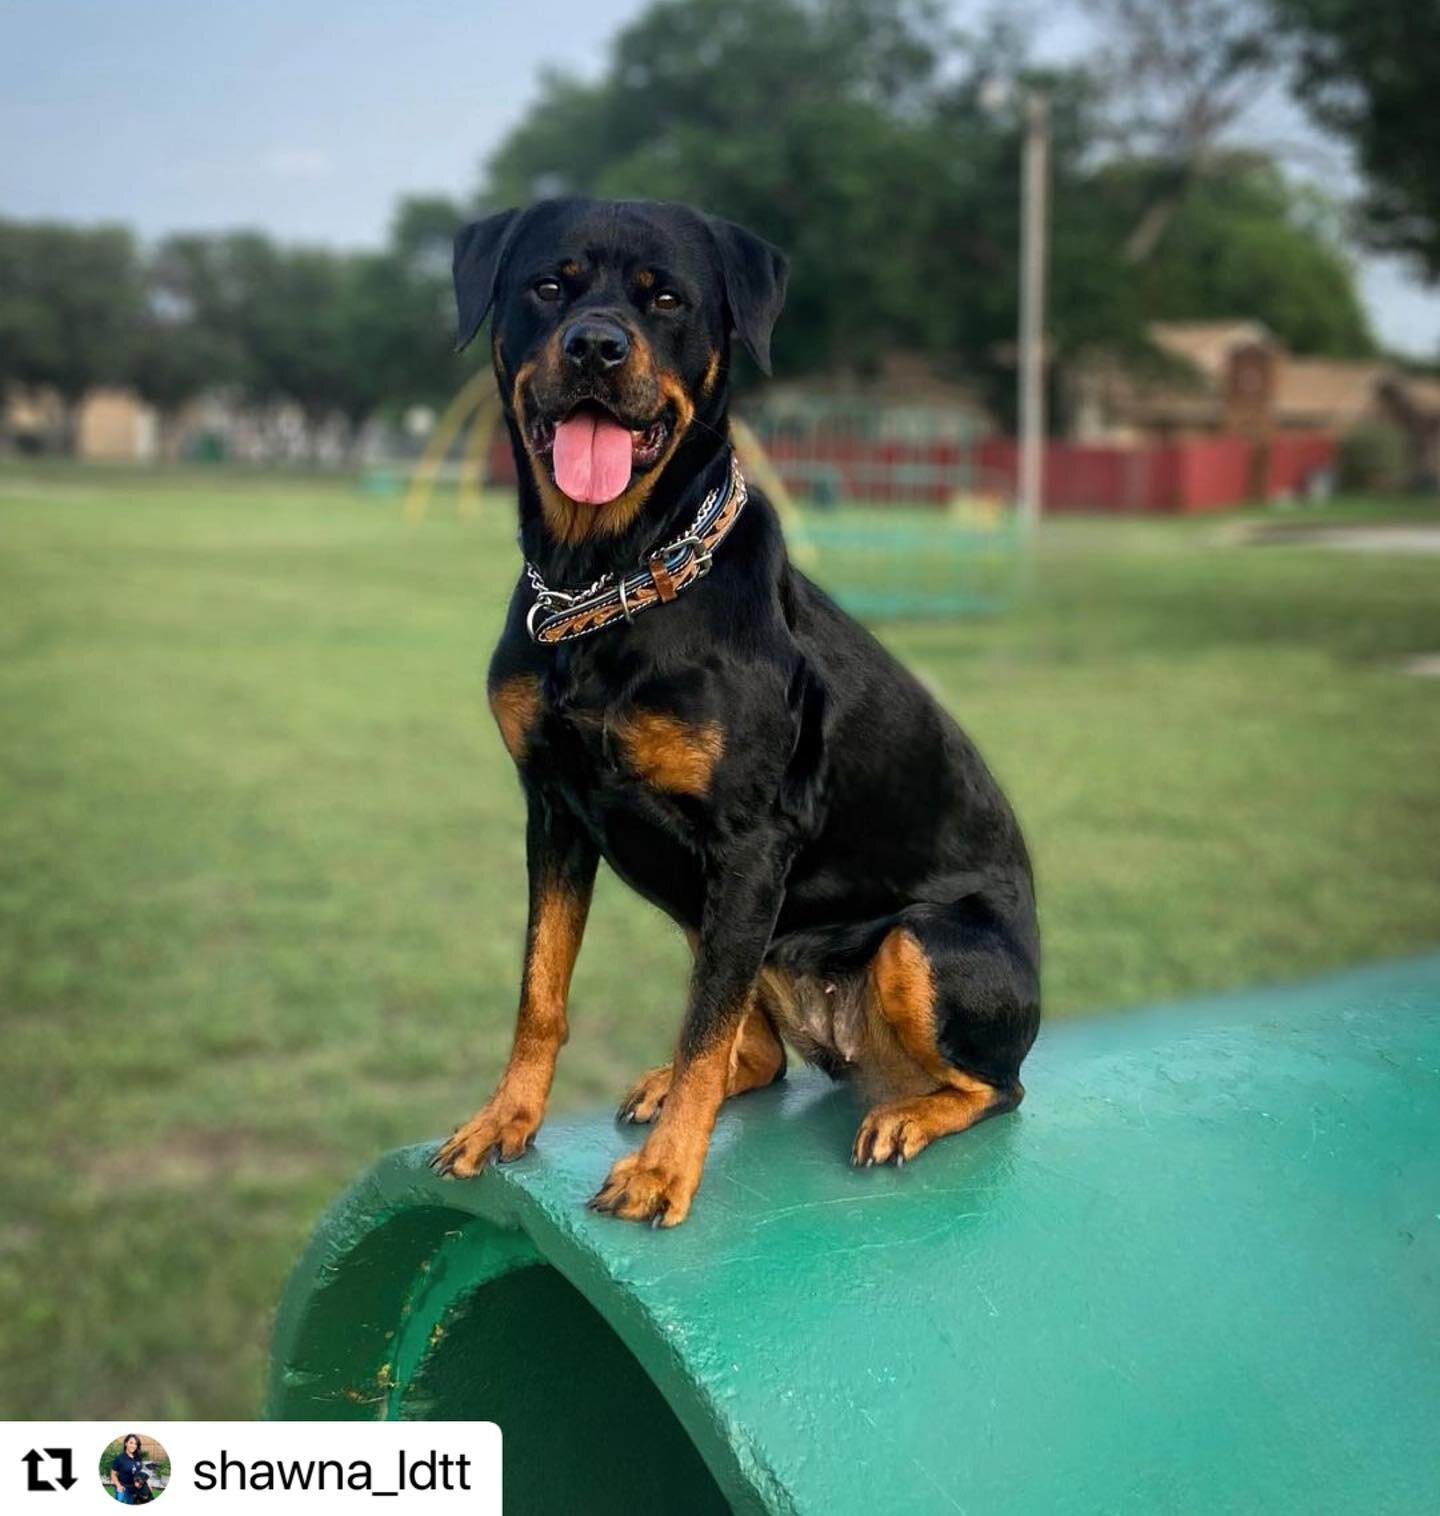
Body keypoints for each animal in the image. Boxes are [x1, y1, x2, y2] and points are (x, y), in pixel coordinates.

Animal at [433, 195, 1042, 1224]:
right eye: (549, 285)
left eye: (666, 298)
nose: (595, 346)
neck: (610, 579)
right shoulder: (554, 813)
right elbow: (542, 993)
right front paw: (502, 1120)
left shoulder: (752, 841)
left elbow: (701, 1028)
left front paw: (663, 1174)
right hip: (705, 902)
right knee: (756, 1051)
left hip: (917, 942)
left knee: (997, 1086)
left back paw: (907, 1115)